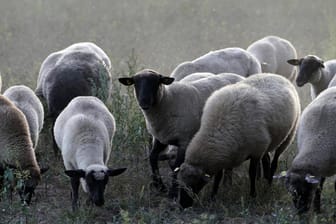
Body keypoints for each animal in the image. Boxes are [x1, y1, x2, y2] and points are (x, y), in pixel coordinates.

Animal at [118, 69, 244, 198]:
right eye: (135, 83)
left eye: (156, 82)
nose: (144, 102)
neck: (168, 101)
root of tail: (240, 77)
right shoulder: (161, 139)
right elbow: (152, 158)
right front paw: (160, 187)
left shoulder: (184, 141)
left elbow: (177, 166)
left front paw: (172, 192)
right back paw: (227, 184)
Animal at [177, 73, 300, 208]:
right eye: (179, 182)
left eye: (195, 184)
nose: (183, 205)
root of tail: (277, 76)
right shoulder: (225, 157)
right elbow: (218, 176)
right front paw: (213, 197)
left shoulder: (257, 150)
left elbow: (252, 173)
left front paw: (253, 195)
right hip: (268, 142)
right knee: (267, 159)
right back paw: (265, 181)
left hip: (289, 135)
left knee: (274, 161)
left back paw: (268, 184)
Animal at [284, 86, 336, 214]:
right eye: (292, 194)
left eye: (306, 191)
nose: (300, 212)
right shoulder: (320, 169)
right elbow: (319, 187)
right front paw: (317, 210)